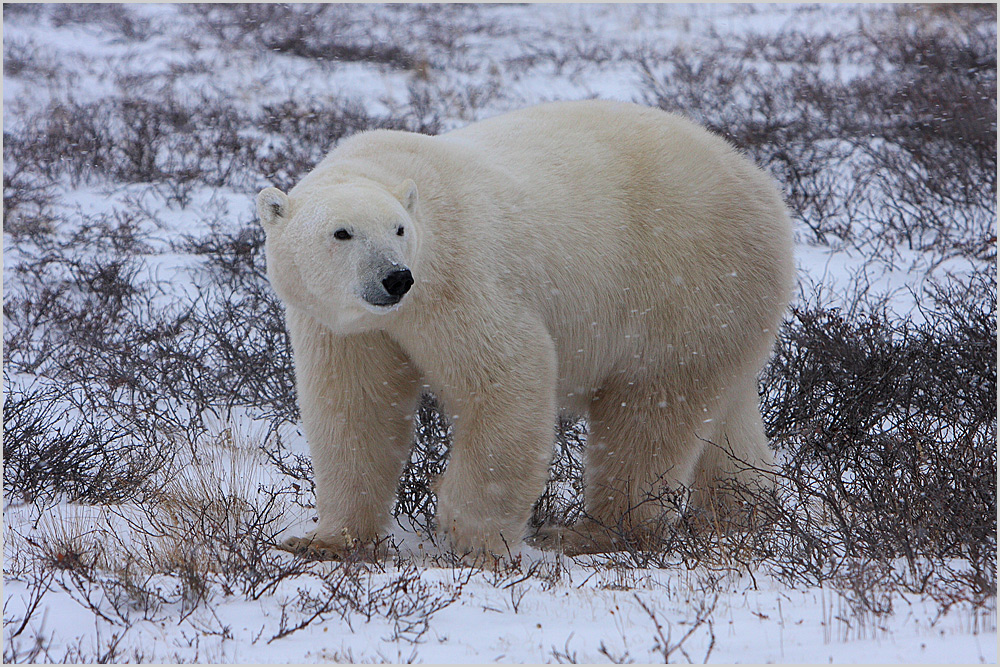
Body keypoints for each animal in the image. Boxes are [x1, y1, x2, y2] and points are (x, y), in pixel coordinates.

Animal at [260, 98, 796, 560]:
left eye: (398, 229)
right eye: (342, 232)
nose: (395, 277)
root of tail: (764, 187)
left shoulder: (461, 278)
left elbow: (505, 379)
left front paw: (470, 533)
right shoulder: (344, 327)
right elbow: (356, 408)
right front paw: (325, 541)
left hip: (684, 283)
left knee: (649, 411)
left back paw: (590, 533)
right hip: (725, 308)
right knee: (725, 414)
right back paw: (743, 511)